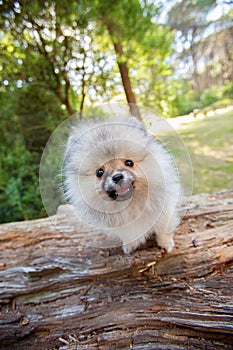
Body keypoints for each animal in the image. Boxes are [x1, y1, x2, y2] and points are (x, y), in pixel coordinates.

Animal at [62, 116, 181, 253]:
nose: (117, 177)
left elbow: (163, 229)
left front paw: (166, 243)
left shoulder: (164, 211)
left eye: (129, 163)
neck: (129, 204)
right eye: (99, 172)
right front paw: (130, 244)